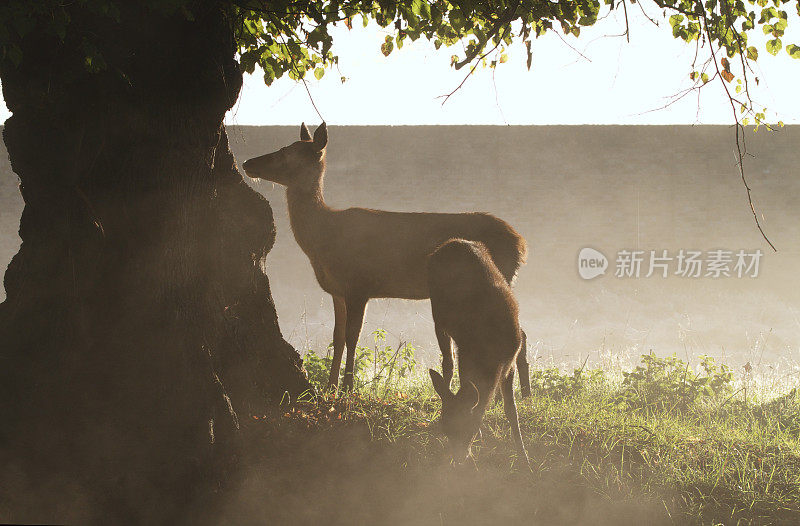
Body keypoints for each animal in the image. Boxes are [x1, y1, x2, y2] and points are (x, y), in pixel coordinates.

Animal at [244, 124, 532, 396]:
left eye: (286, 152)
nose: (248, 163)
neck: (323, 238)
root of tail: (521, 244)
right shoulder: (337, 291)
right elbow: (337, 337)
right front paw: (330, 387)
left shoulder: (358, 285)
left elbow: (352, 336)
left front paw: (347, 387)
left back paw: (518, 394)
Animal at [428, 239, 528, 466]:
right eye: (445, 429)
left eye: (469, 430)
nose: (458, 460)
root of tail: (451, 242)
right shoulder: (466, 353)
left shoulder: (510, 360)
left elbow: (511, 409)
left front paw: (524, 456)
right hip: (437, 314)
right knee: (447, 361)